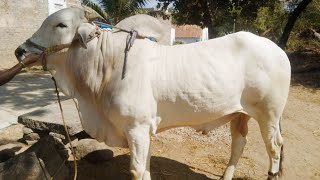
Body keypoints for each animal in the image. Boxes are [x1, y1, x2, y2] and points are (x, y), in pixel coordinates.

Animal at [15, 7, 292, 179]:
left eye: (60, 24)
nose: (20, 51)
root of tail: (276, 49)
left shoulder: (136, 128)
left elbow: (137, 170)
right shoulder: (144, 130)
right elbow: (145, 168)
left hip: (269, 114)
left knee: (275, 147)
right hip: (240, 114)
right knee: (239, 143)